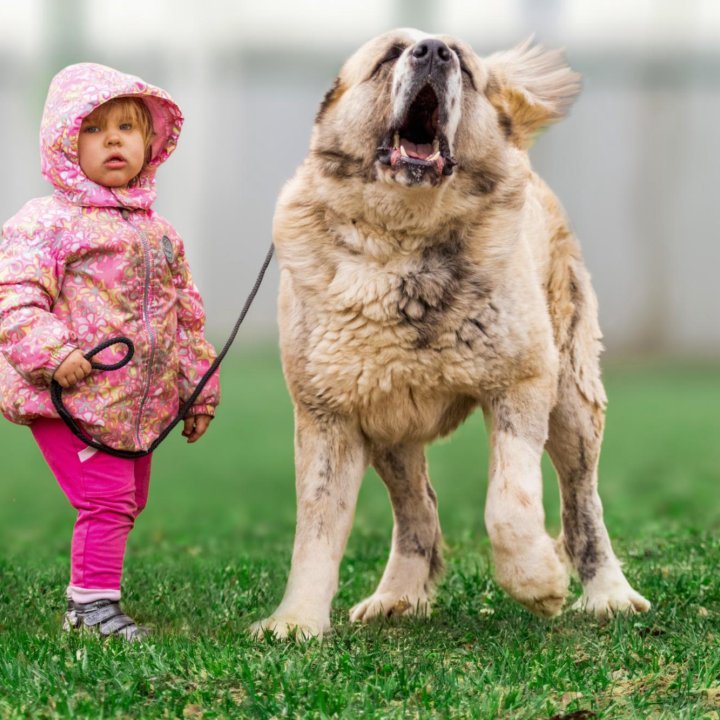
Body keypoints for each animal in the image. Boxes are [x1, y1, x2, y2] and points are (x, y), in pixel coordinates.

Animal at [252, 28, 648, 640]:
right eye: (390, 55)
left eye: (459, 60)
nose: (434, 51)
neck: (403, 242)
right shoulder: (329, 416)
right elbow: (315, 531)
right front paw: (295, 623)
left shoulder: (522, 382)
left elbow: (509, 502)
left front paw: (538, 582)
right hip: (389, 429)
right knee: (419, 508)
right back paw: (397, 595)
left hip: (571, 402)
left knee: (583, 504)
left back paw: (609, 594)